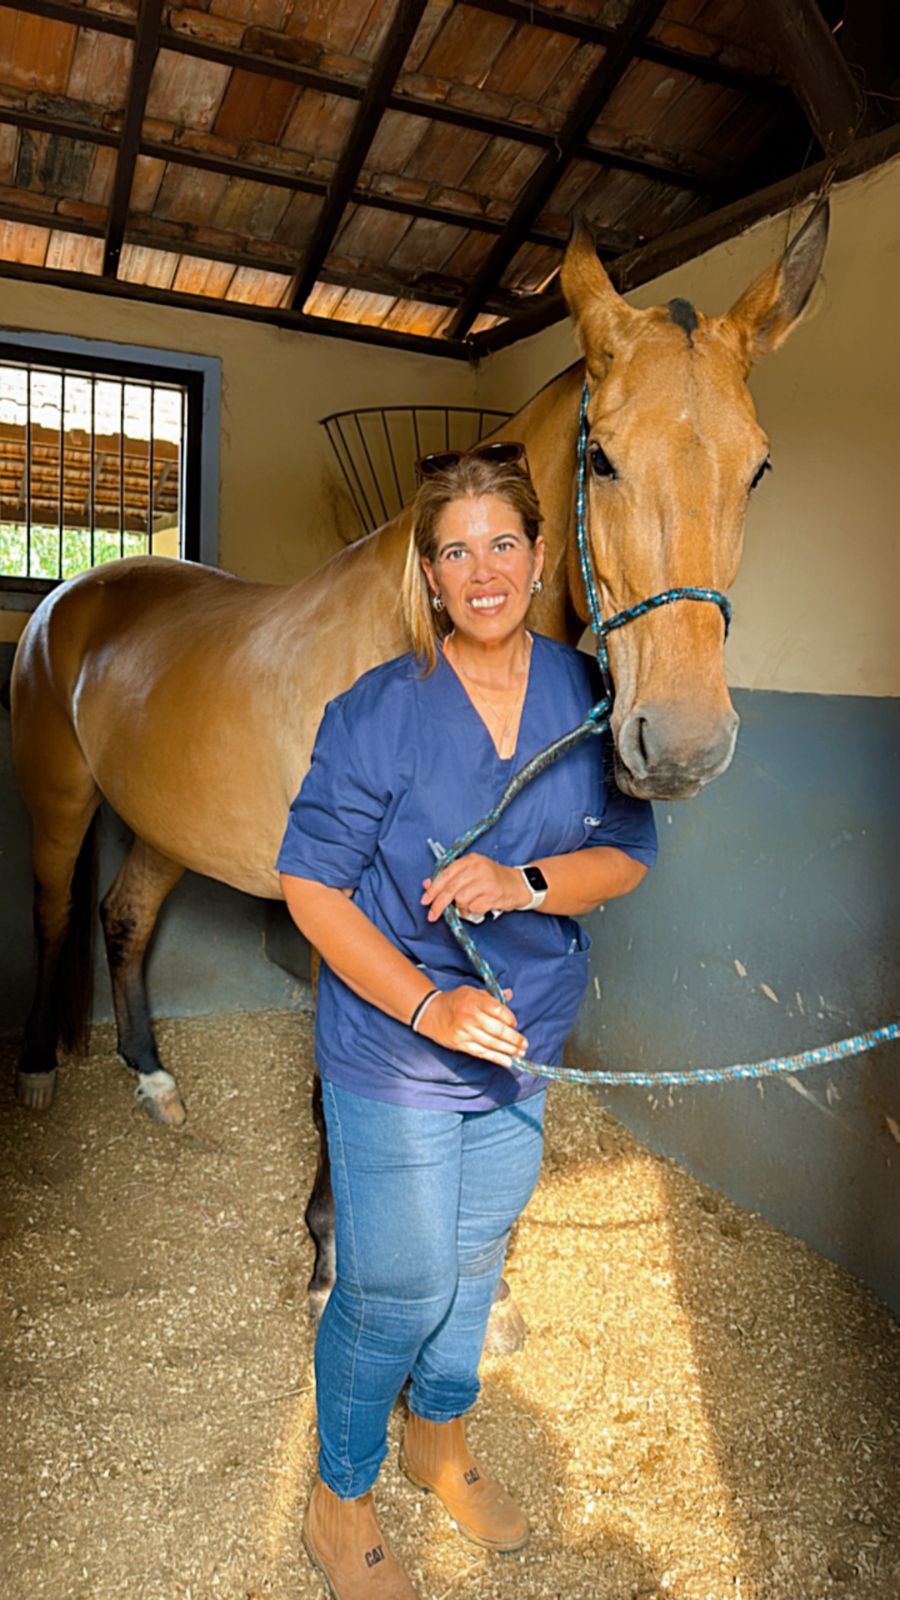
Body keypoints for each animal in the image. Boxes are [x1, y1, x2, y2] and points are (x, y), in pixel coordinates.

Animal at [10, 205, 828, 1343]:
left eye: (758, 467)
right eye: (603, 458)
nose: (683, 743)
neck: (431, 638)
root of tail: (74, 596)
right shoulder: (336, 912)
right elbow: (340, 1077)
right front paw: (331, 1257)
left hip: (168, 826)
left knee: (124, 919)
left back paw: (155, 1080)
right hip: (56, 799)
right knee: (53, 915)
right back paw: (41, 1071)